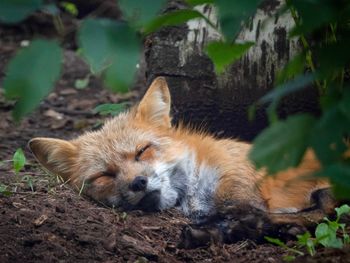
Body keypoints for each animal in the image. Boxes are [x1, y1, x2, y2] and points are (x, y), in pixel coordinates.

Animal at [29, 77, 340, 249]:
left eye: (142, 151)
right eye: (104, 175)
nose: (138, 183)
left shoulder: (239, 185)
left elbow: (246, 213)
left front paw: (221, 230)